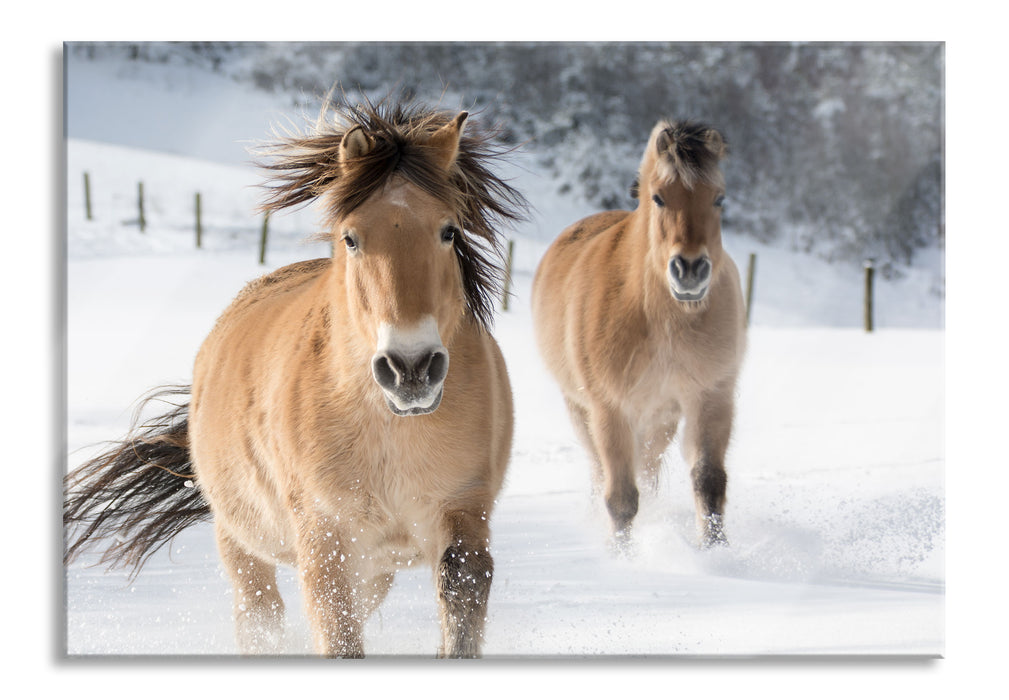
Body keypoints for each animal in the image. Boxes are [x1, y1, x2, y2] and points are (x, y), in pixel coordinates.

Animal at [65, 97, 528, 657]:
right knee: (259, 617)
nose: (411, 368)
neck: (389, 432)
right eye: (351, 238)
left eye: (449, 231)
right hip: (242, 541)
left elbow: (459, 612)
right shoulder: (326, 543)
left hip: (375, 568)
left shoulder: (462, 516)